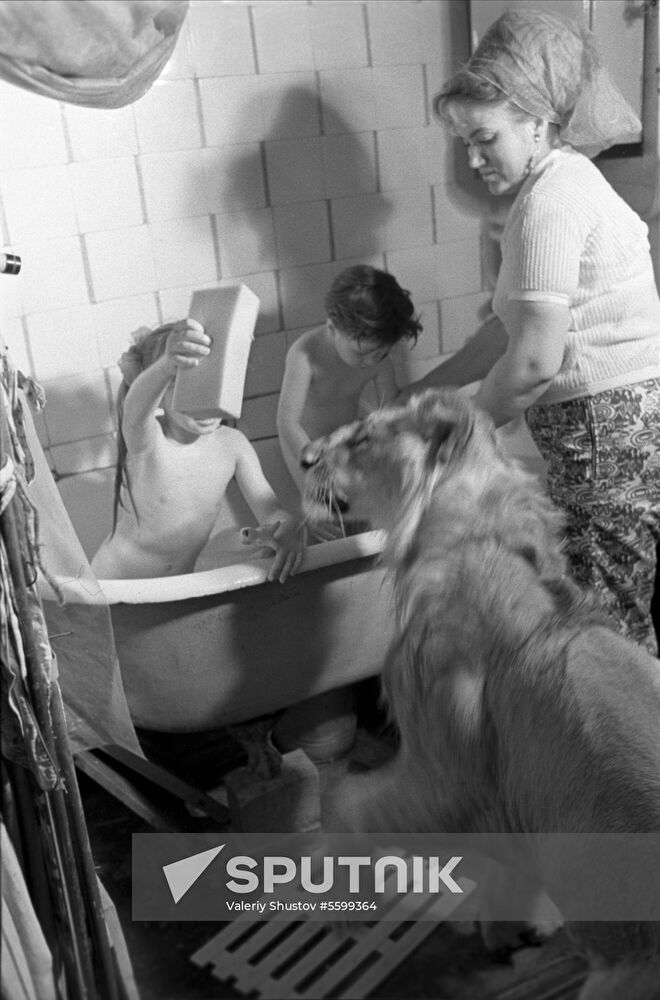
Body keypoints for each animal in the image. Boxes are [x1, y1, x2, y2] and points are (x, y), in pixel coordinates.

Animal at [301, 388, 660, 1000]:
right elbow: (509, 870)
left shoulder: (447, 779)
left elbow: (350, 803)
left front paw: (334, 889)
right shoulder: (507, 798)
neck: (482, 536)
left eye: (363, 436)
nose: (303, 459)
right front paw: (515, 929)